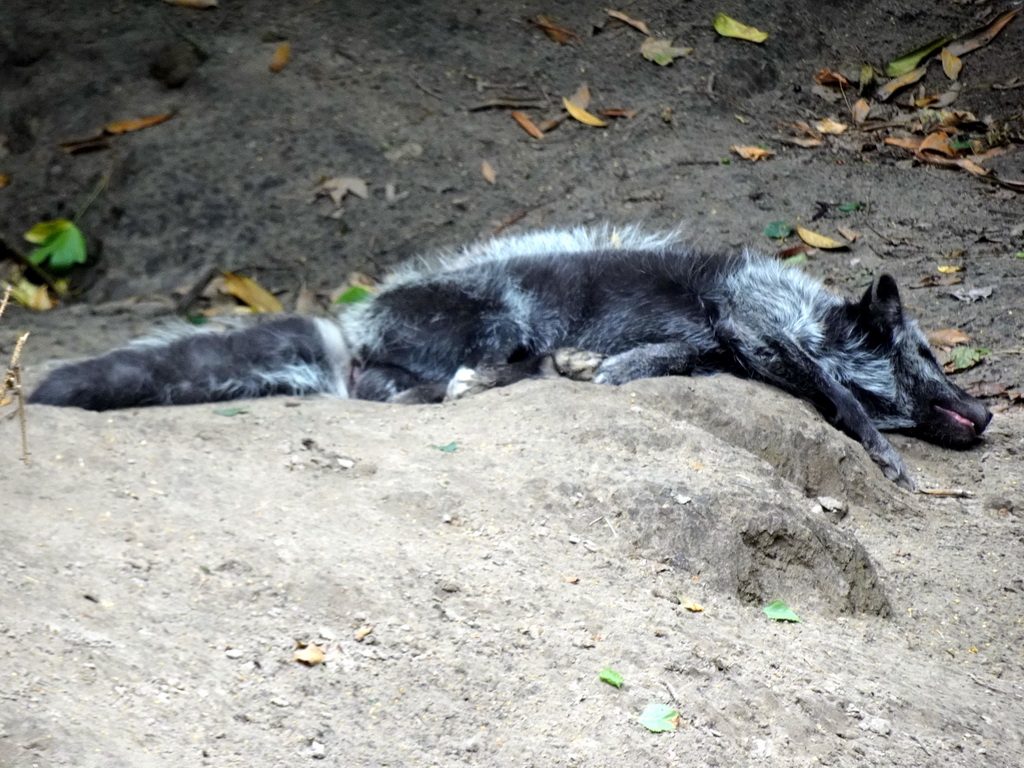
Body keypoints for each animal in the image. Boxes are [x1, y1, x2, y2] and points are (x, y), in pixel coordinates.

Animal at [34, 225, 991, 489]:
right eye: (925, 352)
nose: (986, 412)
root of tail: (353, 322)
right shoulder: (755, 323)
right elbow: (840, 393)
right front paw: (884, 453)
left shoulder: (718, 339)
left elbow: (662, 359)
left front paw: (608, 370)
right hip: (502, 315)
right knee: (416, 391)